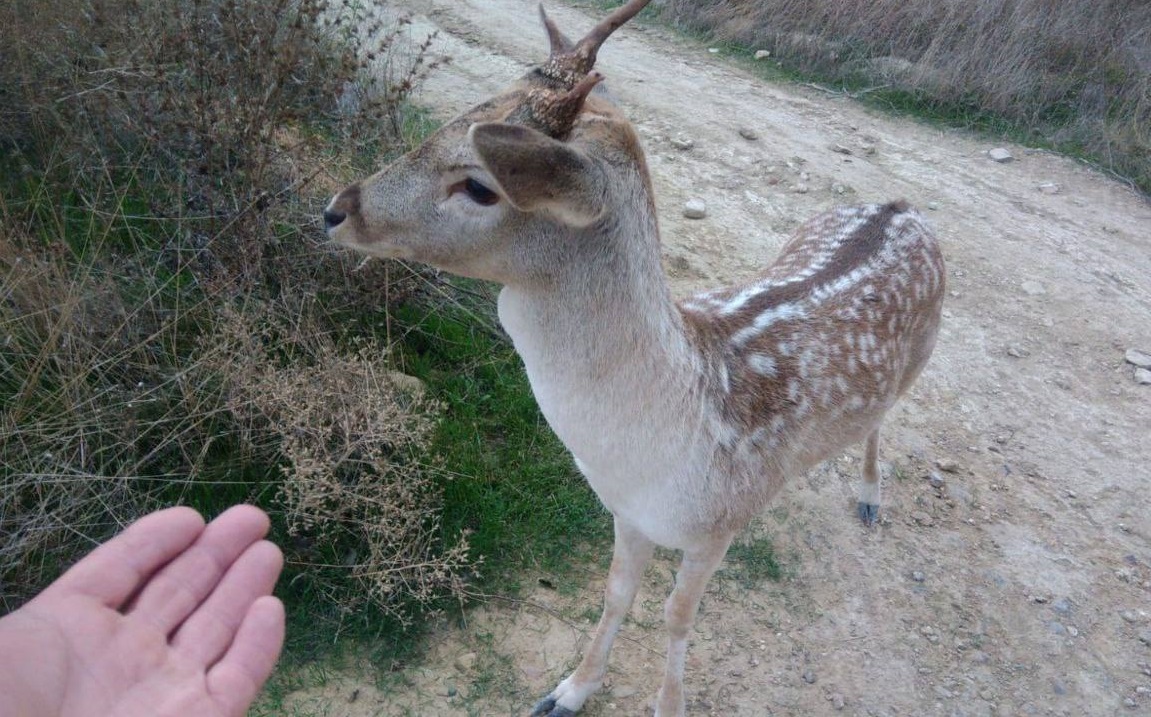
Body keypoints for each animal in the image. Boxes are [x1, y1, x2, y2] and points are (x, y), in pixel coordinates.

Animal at [322, 2, 943, 713]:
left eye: (481, 185)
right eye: (459, 115)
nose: (336, 210)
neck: (661, 449)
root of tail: (904, 206)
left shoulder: (718, 525)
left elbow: (677, 616)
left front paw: (668, 703)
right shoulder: (626, 513)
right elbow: (616, 593)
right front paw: (568, 690)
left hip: (921, 358)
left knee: (882, 418)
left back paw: (870, 498)